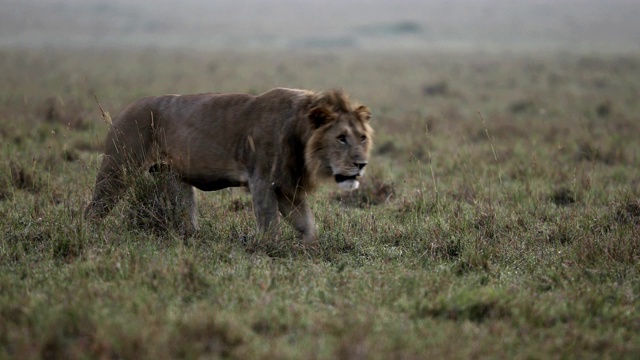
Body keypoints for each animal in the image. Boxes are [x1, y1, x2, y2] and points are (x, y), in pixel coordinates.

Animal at [85, 88, 376, 245]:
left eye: (362, 137)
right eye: (341, 137)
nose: (361, 164)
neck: (301, 133)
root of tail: (122, 111)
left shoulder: (286, 188)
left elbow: (307, 224)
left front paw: (308, 248)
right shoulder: (261, 181)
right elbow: (269, 224)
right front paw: (269, 248)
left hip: (174, 177)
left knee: (186, 217)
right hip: (118, 169)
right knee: (93, 210)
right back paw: (88, 235)